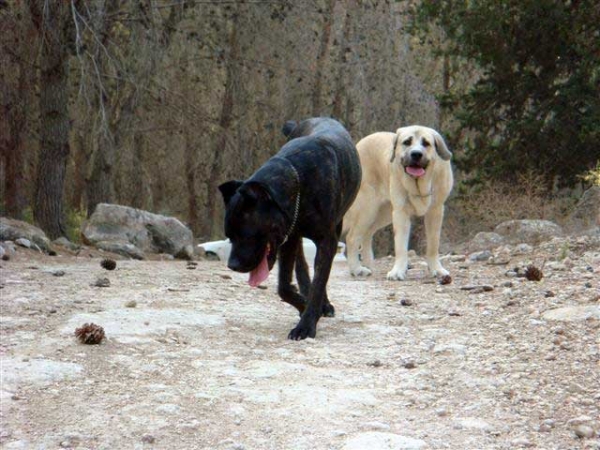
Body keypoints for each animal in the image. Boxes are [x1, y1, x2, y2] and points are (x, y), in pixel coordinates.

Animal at [219, 118, 360, 340]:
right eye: (229, 236)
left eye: (247, 235)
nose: (232, 265)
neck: (298, 180)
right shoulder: (289, 237)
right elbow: (284, 287)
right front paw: (304, 305)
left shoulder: (326, 241)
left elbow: (319, 282)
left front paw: (306, 325)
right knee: (302, 266)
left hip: (336, 225)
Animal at [344, 126, 452, 280]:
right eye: (406, 142)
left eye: (426, 143)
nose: (416, 154)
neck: (418, 185)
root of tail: (358, 145)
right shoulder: (401, 213)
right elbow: (400, 245)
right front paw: (398, 271)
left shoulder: (436, 212)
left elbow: (433, 244)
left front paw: (437, 269)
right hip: (368, 208)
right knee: (352, 237)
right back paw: (357, 269)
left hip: (383, 214)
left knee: (367, 234)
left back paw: (368, 265)